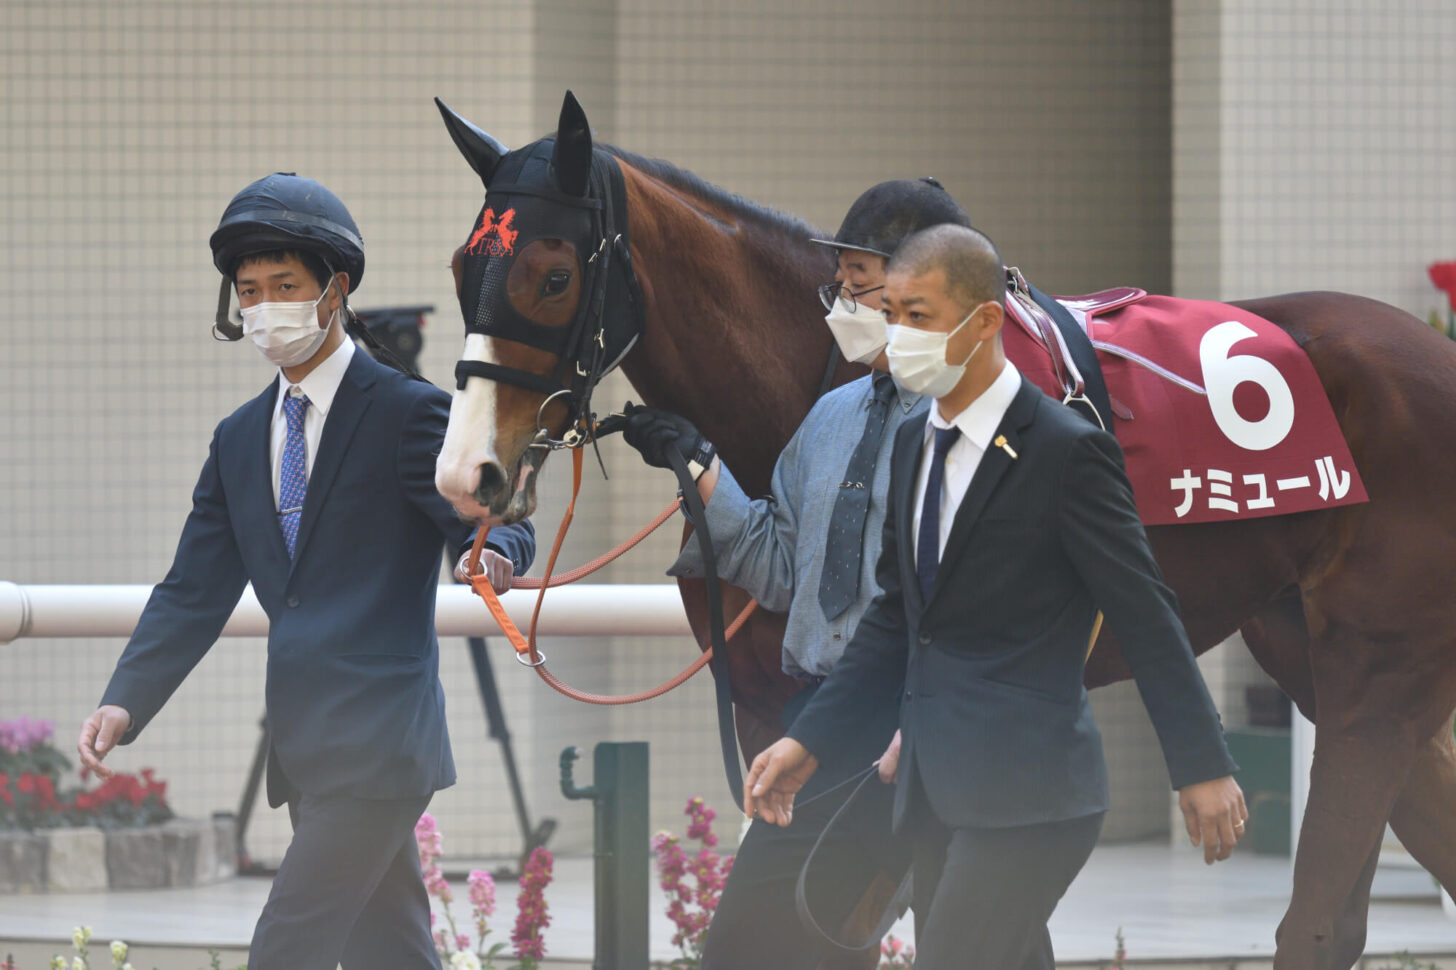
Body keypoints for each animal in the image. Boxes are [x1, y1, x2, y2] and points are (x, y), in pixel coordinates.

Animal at [430, 92, 1456, 967]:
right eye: (461, 266)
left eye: (554, 274)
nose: (468, 472)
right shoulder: (778, 717)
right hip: (1309, 647)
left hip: (1376, 670)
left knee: (1320, 922)